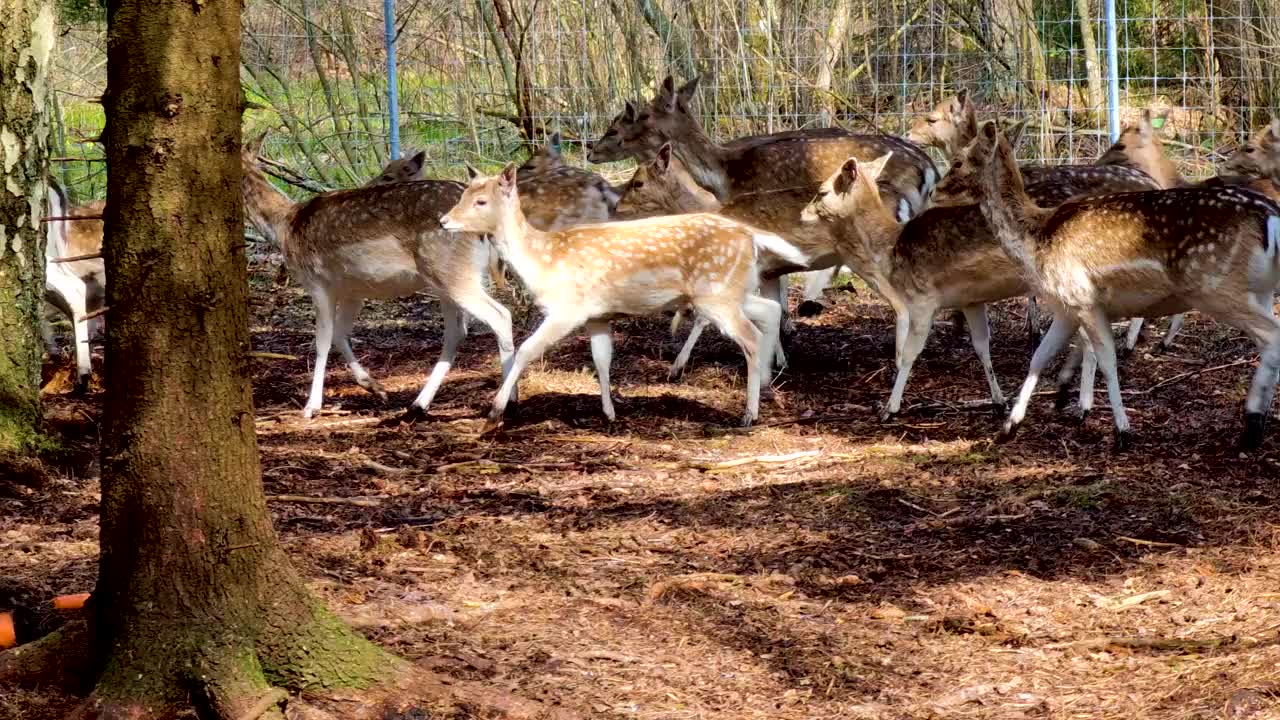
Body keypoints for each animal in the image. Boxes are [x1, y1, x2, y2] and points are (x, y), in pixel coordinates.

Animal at [240, 137, 514, 417]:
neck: (285, 228)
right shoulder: (353, 291)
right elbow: (340, 334)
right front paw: (375, 387)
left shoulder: (316, 281)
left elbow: (322, 340)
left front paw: (312, 406)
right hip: (451, 278)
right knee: (456, 332)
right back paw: (420, 403)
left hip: (451, 271)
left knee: (500, 316)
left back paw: (504, 403)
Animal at [437, 162, 798, 430]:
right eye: (464, 194)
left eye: (481, 201)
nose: (444, 220)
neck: (542, 261)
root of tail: (750, 235)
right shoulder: (597, 316)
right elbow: (602, 360)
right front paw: (609, 413)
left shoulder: (567, 308)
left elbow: (526, 350)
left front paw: (495, 412)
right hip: (730, 291)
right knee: (770, 309)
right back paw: (769, 382)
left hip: (717, 293)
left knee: (750, 335)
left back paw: (749, 414)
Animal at [967, 121, 1280, 448]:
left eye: (967, 156)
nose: (952, 181)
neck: (1035, 238)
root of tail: (1271, 216)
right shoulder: (1066, 307)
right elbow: (1040, 356)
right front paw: (1010, 425)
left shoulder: (1084, 298)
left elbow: (1106, 359)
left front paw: (1121, 430)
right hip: (1259, 290)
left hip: (1217, 288)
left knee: (1272, 336)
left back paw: (1252, 423)